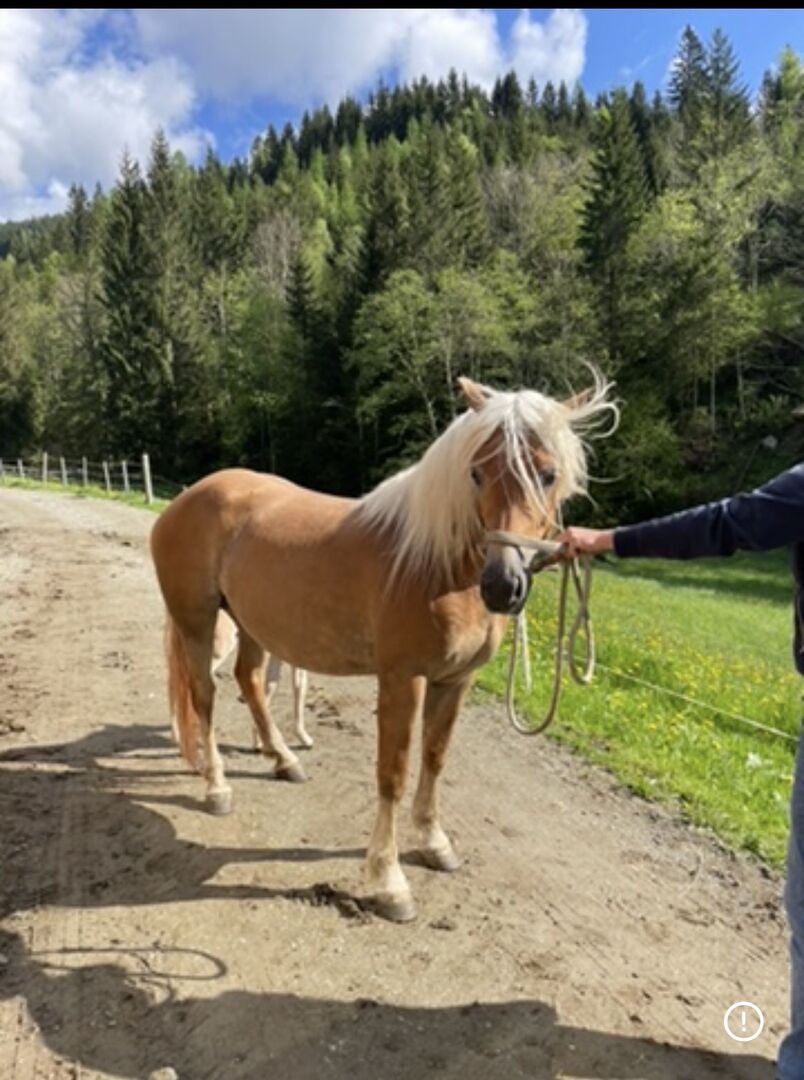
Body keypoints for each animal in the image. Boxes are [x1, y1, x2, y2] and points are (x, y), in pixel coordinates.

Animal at [150, 374, 616, 921]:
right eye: (477, 473)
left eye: (547, 474)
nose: (503, 586)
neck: (435, 567)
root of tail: (187, 497)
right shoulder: (402, 679)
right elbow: (392, 773)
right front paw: (390, 883)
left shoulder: (455, 680)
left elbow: (435, 757)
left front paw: (435, 844)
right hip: (198, 624)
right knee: (205, 696)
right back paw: (218, 787)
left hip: (253, 625)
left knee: (250, 680)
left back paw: (285, 761)